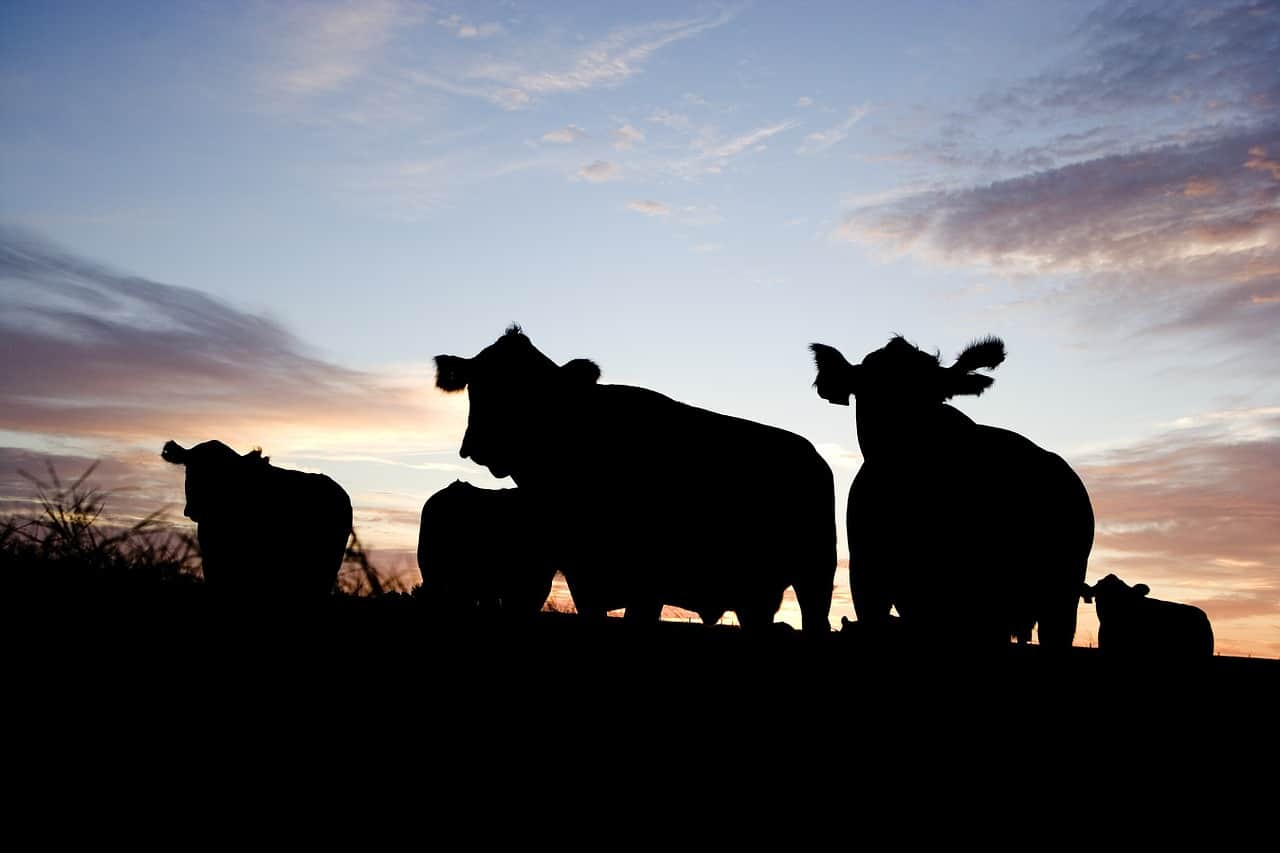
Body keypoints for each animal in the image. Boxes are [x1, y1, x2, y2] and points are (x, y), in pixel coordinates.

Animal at [434, 325, 836, 633]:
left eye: (536, 391)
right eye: (476, 384)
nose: (482, 442)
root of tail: (813, 457)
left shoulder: (648, 583)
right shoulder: (580, 575)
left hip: (815, 574)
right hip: (756, 593)